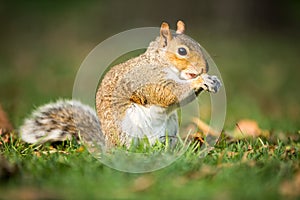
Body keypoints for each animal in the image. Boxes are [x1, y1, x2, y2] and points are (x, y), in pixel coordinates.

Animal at [18, 21, 220, 150]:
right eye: (182, 51)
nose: (204, 68)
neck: (159, 62)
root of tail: (108, 145)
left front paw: (213, 80)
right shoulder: (147, 79)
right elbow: (167, 93)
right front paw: (200, 80)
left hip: (169, 128)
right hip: (128, 129)